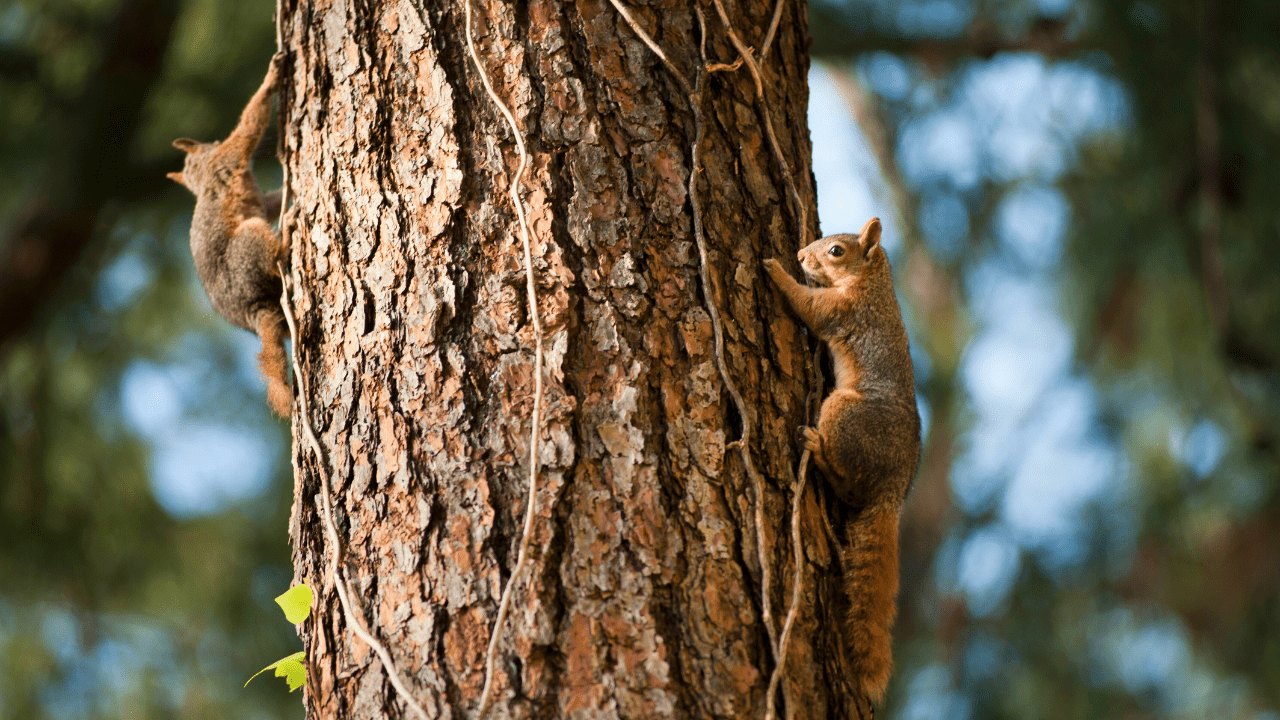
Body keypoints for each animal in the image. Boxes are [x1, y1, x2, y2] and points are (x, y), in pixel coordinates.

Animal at [166, 54, 291, 415]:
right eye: (213, 143)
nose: (214, 141)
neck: (202, 174)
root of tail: (253, 308)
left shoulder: (258, 198)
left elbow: (271, 201)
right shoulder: (231, 155)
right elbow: (249, 125)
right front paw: (272, 77)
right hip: (249, 241)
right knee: (273, 255)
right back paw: (288, 233)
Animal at [757, 213, 921, 702]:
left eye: (836, 251)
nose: (799, 254)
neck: (872, 282)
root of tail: (893, 490)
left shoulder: (842, 310)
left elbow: (807, 307)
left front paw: (776, 272)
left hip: (840, 410)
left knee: (843, 481)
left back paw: (815, 450)